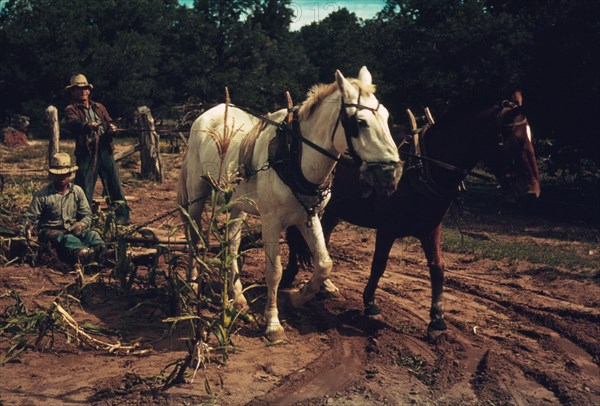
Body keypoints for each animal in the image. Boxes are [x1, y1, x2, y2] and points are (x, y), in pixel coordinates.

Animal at [178, 67, 404, 342]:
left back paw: (238, 298)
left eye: (386, 116)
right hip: (196, 196)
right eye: (359, 122)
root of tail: (206, 115)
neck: (293, 157)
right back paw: (192, 286)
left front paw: (298, 298)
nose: (392, 174)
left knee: (231, 243)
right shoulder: (271, 222)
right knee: (194, 237)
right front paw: (273, 323)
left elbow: (324, 264)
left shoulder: (309, 217)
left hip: (236, 206)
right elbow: (274, 271)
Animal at [282, 91, 540, 336]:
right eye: (515, 140)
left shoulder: (430, 229)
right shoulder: (387, 228)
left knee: (323, 239)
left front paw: (437, 320)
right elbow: (379, 264)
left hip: (333, 210)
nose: (532, 192)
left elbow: (437, 268)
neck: (424, 166)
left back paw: (324, 285)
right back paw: (290, 275)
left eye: (530, 138)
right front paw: (370, 302)